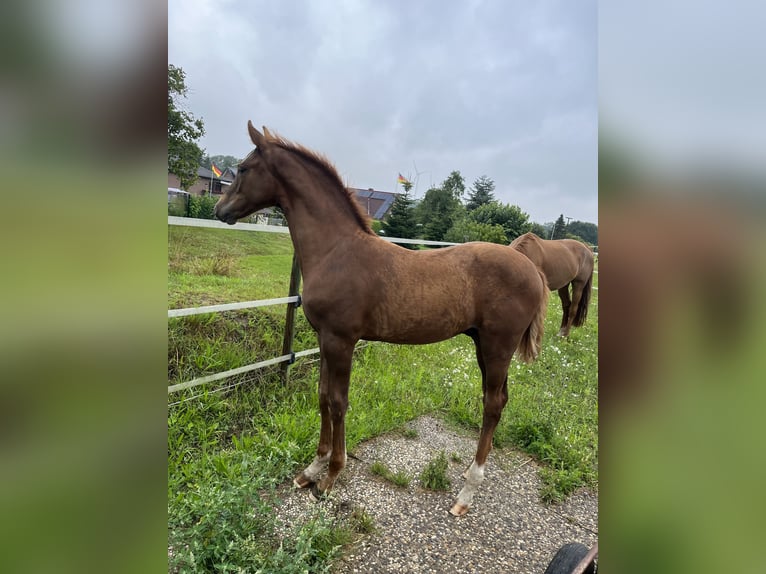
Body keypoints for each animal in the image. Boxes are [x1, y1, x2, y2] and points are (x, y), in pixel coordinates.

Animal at [216, 124, 552, 520]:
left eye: (243, 168)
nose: (219, 209)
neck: (336, 250)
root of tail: (532, 268)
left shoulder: (341, 340)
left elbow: (338, 402)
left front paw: (330, 477)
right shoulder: (324, 339)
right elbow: (322, 397)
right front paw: (311, 470)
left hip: (498, 346)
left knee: (492, 403)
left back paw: (467, 493)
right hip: (483, 344)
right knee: (499, 401)